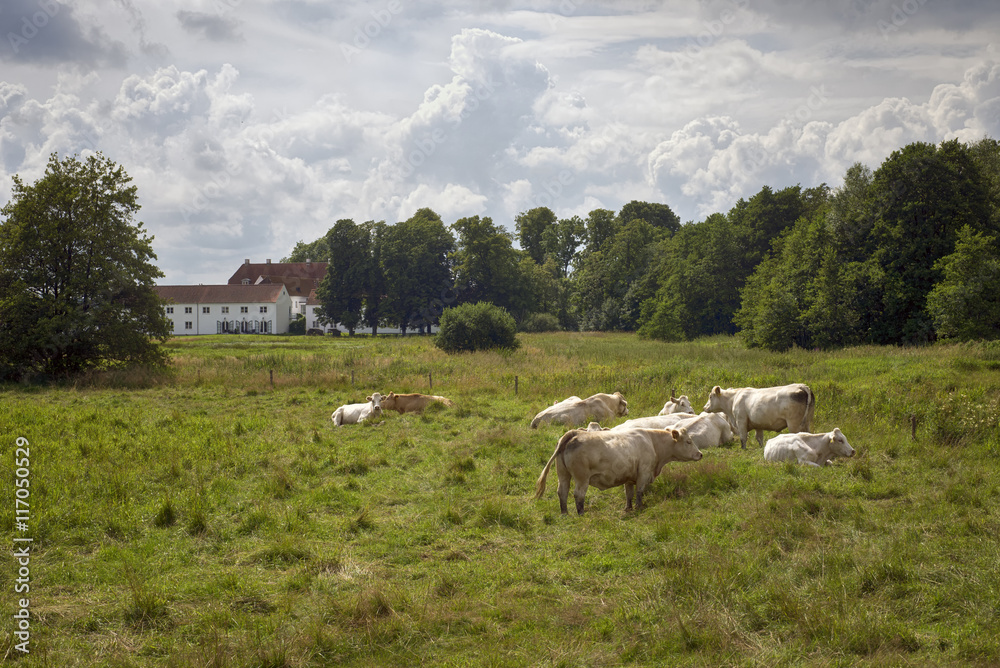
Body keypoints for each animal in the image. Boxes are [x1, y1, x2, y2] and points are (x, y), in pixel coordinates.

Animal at [535, 427, 702, 515]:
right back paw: (581, 513)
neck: (652, 442)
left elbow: (629, 493)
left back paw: (564, 513)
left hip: (563, 475)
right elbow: (639, 491)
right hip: (582, 479)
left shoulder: (629, 477)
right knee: (578, 495)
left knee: (562, 492)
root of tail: (575, 433)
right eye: (689, 441)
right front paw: (639, 507)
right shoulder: (644, 472)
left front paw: (628, 508)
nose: (700, 454)